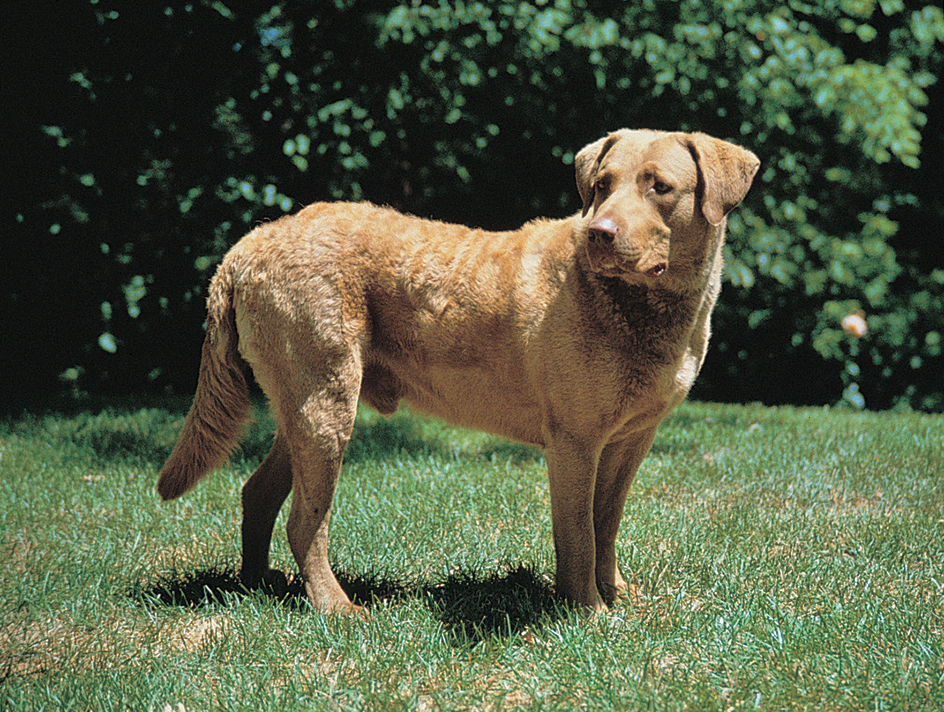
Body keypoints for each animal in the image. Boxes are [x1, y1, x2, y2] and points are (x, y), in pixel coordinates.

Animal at [157, 128, 760, 612]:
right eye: (602, 185)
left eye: (660, 186)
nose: (601, 233)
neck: (642, 307)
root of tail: (248, 244)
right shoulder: (574, 441)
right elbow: (579, 535)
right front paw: (588, 613)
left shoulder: (632, 438)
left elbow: (605, 523)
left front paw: (615, 595)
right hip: (325, 403)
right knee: (306, 521)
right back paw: (336, 607)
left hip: (300, 405)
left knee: (257, 494)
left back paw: (258, 587)